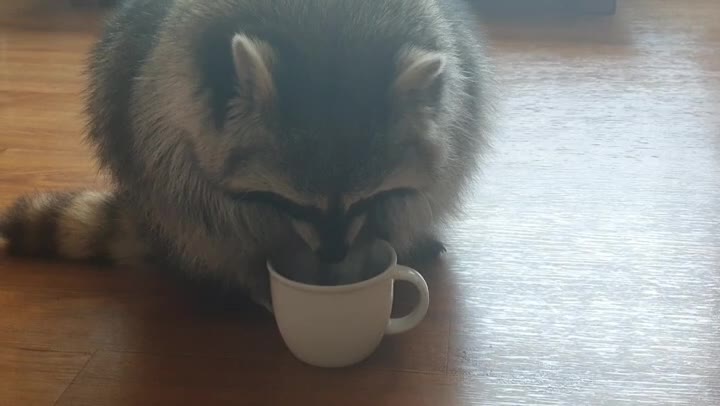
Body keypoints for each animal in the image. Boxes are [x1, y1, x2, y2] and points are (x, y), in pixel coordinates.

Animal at [0, 0, 490, 310]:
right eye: (296, 204)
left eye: (363, 200)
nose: (334, 256)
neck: (328, 35)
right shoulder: (170, 103)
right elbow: (204, 204)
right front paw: (252, 265)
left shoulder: (454, 83)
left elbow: (434, 173)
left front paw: (387, 230)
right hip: (121, 102)